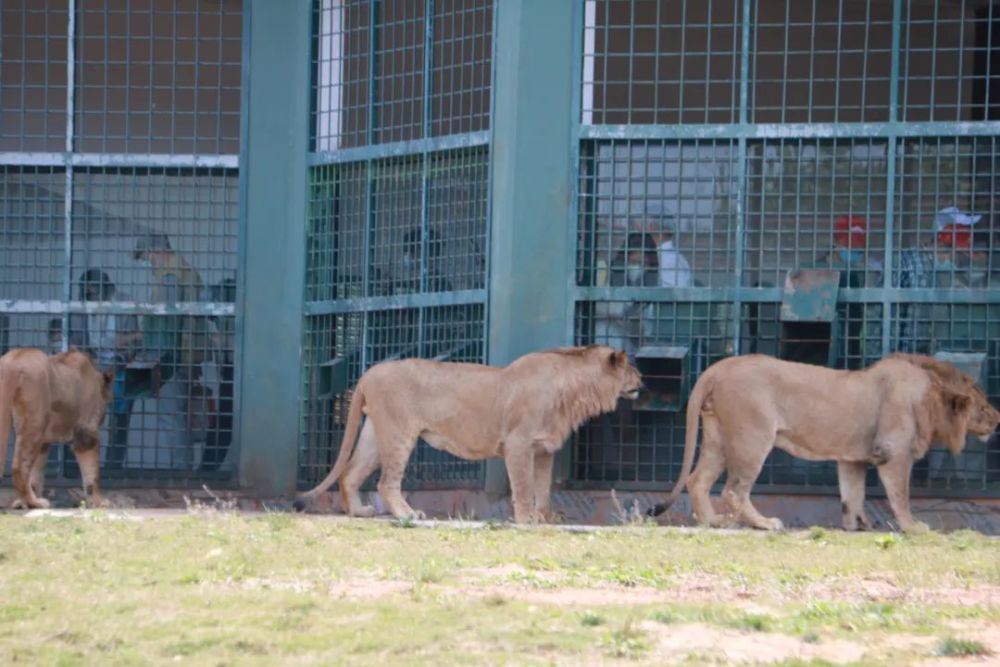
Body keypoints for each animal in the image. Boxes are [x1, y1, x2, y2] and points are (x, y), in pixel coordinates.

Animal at [0, 348, 114, 508]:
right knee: (19, 467)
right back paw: (34, 502)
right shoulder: (87, 432)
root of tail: (11, 363)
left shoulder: (44, 443)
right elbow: (93, 472)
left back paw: (27, 501)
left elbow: (35, 474)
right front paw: (98, 501)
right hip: (35, 423)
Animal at [292, 348, 644, 524]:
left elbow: (543, 488)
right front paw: (525, 518)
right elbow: (524, 487)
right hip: (399, 433)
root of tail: (369, 372)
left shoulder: (544, 449)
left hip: (376, 435)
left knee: (350, 474)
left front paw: (546, 517)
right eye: (631, 368)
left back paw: (359, 512)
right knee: (385, 483)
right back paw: (408, 515)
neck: (575, 391)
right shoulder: (518, 443)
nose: (643, 380)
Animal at [644, 352, 996, 536]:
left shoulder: (852, 458)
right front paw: (914, 527)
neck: (930, 396)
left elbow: (852, 495)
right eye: (981, 407)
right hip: (753, 438)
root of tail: (720, 366)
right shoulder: (894, 451)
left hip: (718, 438)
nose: (998, 418)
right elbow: (900, 496)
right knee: (734, 490)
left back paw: (711, 522)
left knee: (698, 480)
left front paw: (856, 526)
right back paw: (765, 524)